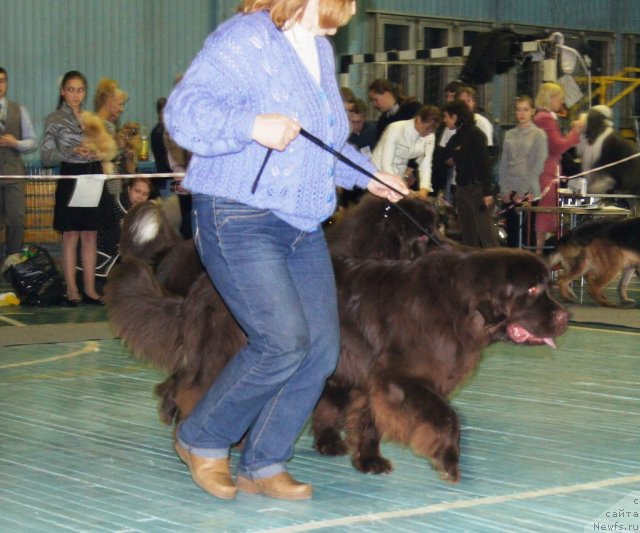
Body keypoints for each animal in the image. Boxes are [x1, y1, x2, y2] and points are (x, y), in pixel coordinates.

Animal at [107, 194, 568, 482]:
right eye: (531, 290)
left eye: (547, 285)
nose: (564, 316)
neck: (460, 305)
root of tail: (205, 283)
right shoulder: (398, 378)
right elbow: (446, 417)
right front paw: (448, 462)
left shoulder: (367, 378)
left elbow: (365, 418)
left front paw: (367, 460)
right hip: (229, 352)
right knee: (194, 388)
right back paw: (195, 435)